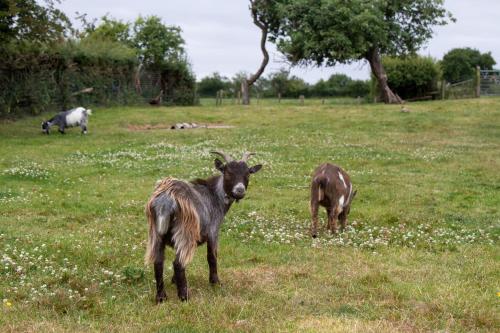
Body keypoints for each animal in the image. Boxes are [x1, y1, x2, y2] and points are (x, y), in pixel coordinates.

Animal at [145, 150, 262, 300]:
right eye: (228, 172)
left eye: (248, 173)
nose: (239, 191)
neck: (214, 196)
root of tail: (166, 200)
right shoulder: (213, 231)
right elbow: (212, 257)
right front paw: (216, 283)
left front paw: (174, 280)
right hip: (185, 232)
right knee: (178, 263)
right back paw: (184, 296)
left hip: (157, 234)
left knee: (158, 262)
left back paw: (161, 297)